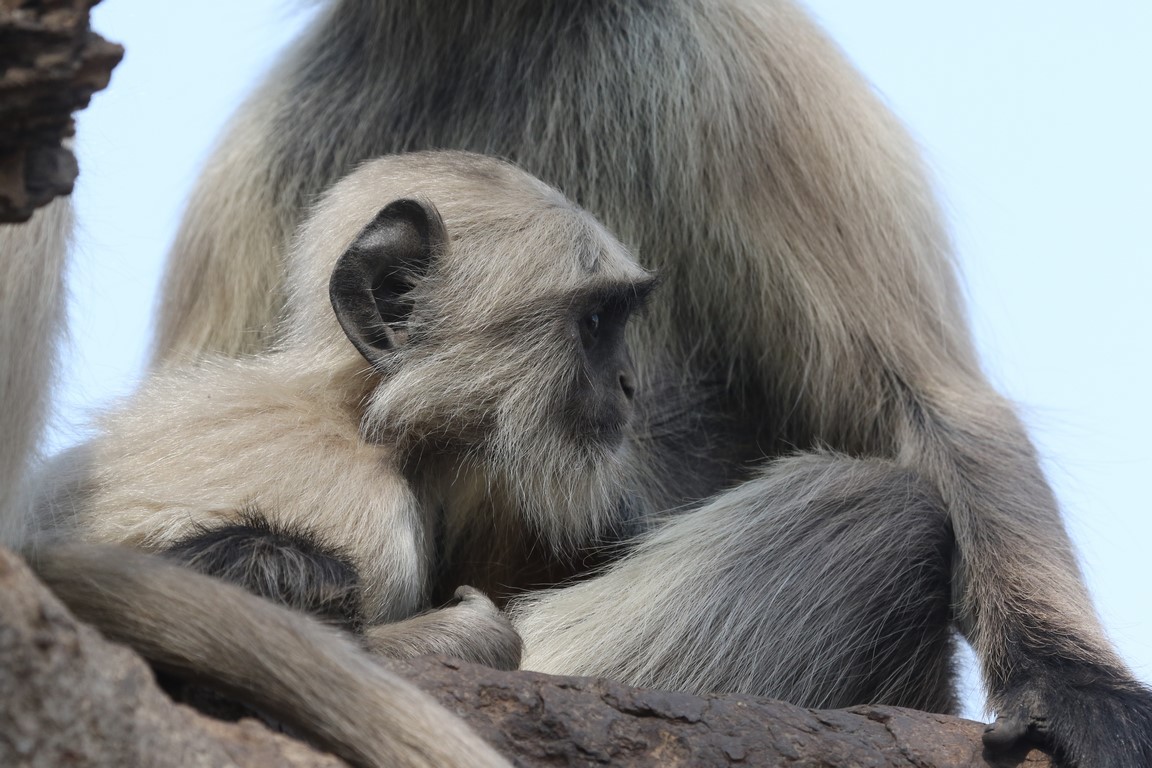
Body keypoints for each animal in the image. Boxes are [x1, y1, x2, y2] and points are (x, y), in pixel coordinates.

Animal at [150, 3, 1152, 764]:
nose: (626, 384)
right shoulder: (287, 125)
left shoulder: (734, 51)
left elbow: (931, 405)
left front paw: (1072, 686)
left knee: (889, 513)